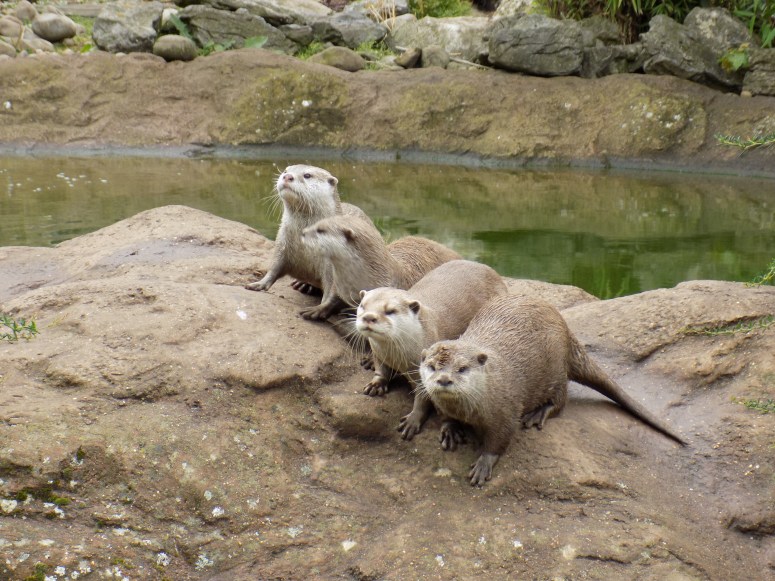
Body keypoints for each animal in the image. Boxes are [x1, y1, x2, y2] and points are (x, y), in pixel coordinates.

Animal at [299, 214, 461, 320]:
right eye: (317, 223)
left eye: (320, 230)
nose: (303, 232)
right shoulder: (339, 286)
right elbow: (332, 298)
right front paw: (316, 310)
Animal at [355, 260, 507, 439]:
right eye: (362, 306)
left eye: (390, 311)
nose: (368, 317)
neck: (397, 357)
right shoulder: (379, 353)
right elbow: (381, 370)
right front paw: (376, 384)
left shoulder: (424, 372)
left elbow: (423, 399)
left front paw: (413, 420)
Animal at [419, 294, 687, 486]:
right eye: (432, 367)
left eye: (462, 368)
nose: (443, 379)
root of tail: (566, 329)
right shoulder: (443, 405)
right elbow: (445, 417)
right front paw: (451, 430)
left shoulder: (507, 409)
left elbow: (500, 438)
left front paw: (484, 463)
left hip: (555, 370)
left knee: (561, 398)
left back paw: (539, 413)